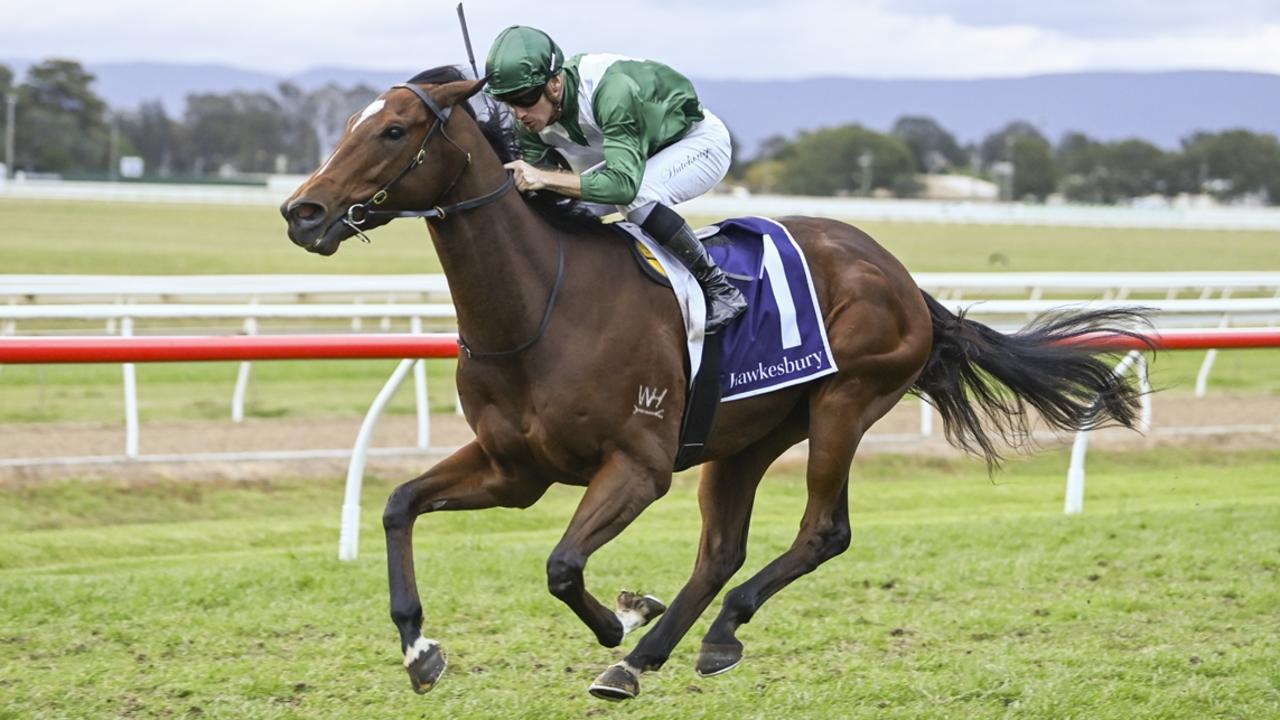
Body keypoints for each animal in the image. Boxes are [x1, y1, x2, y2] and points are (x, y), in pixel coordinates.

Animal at [282, 65, 1152, 696]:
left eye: (394, 129)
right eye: (350, 124)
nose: (303, 212)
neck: (541, 303)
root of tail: (902, 279)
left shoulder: (638, 466)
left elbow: (562, 566)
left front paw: (620, 618)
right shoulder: (514, 468)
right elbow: (399, 506)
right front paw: (420, 648)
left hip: (845, 403)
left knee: (821, 532)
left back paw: (688, 637)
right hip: (748, 435)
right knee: (722, 550)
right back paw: (655, 654)